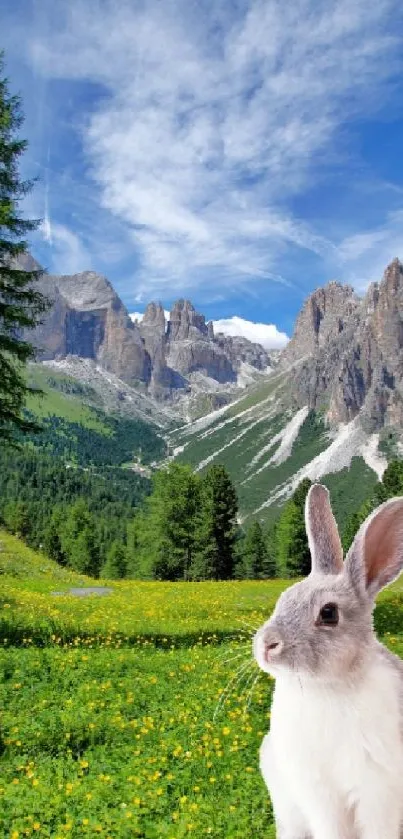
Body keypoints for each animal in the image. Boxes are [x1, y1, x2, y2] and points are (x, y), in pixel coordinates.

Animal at [254, 486, 403, 839]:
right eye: (283, 598)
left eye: (329, 613)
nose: (267, 644)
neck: (326, 688)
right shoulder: (318, 794)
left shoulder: (380, 789)